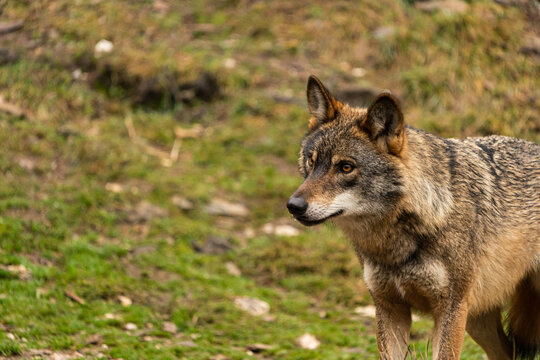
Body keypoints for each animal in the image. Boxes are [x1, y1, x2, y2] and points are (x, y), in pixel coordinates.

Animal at [286, 74, 540, 358]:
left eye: (346, 167)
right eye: (311, 161)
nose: (293, 205)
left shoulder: (450, 309)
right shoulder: (389, 308)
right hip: (478, 320)